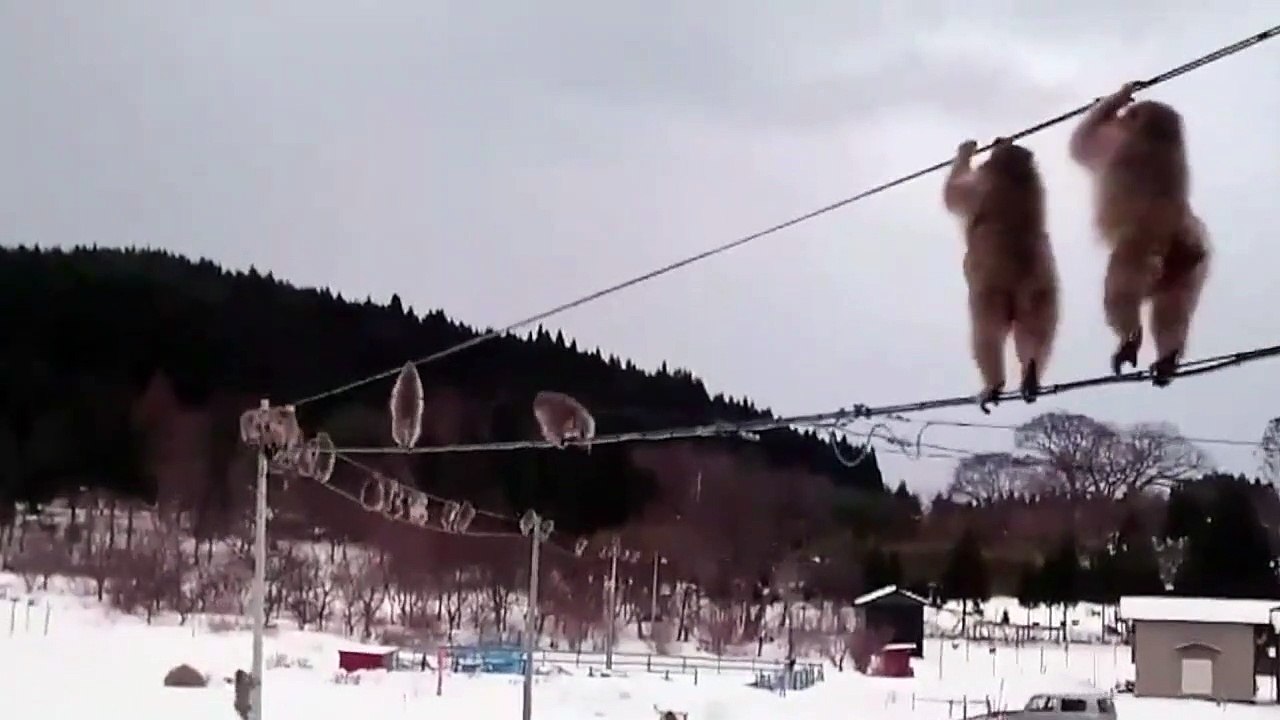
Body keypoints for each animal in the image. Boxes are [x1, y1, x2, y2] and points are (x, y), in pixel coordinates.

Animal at [944, 136, 1060, 414]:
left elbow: (954, 192)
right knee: (1037, 331)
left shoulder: (980, 185)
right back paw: (1030, 377)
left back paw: (992, 386)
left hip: (990, 290)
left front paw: (967, 148)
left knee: (986, 334)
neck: (1015, 174)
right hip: (1043, 289)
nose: (999, 141)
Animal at [1069, 81, 1210, 387]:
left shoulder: (1112, 145)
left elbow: (1081, 143)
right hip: (1190, 265)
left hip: (1138, 248)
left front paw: (1119, 97)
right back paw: (1168, 356)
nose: (1122, 117)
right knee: (1172, 306)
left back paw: (1128, 341)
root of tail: (1177, 236)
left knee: (1119, 287)